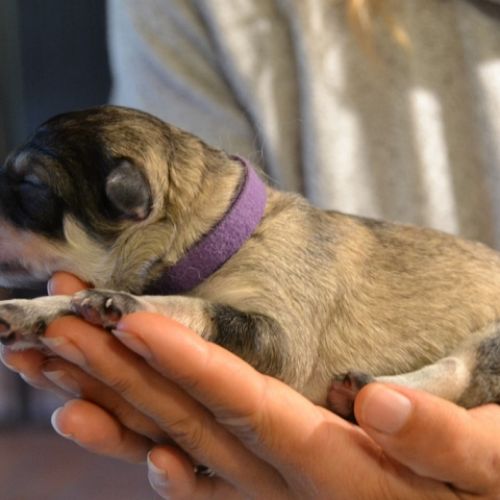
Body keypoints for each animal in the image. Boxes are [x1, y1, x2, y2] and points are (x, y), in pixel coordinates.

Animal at [1, 105, 500, 420]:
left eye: (30, 187)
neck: (221, 235)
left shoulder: (280, 336)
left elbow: (195, 306)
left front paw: (127, 304)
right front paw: (30, 312)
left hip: (487, 342)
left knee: (458, 372)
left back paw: (370, 389)